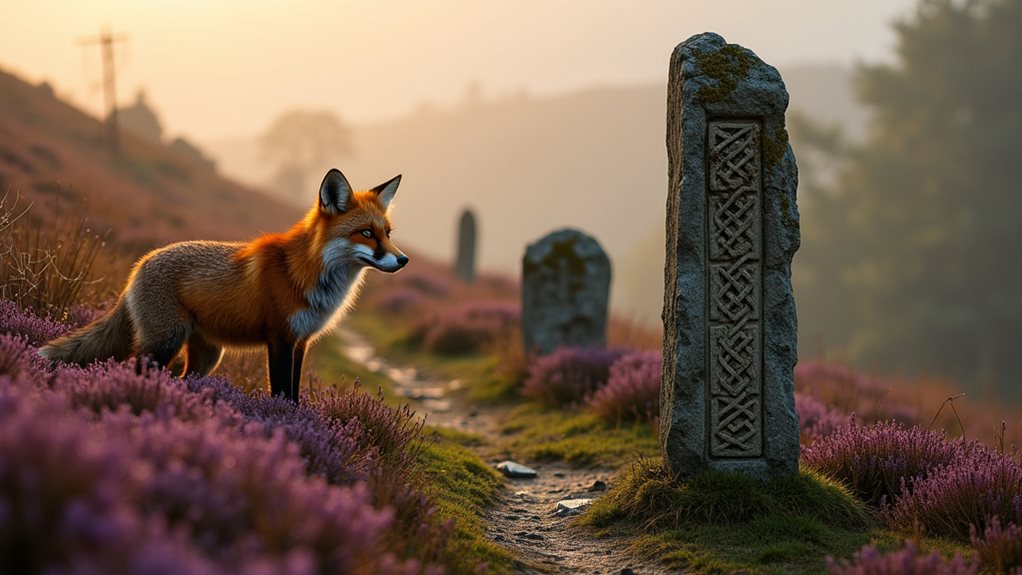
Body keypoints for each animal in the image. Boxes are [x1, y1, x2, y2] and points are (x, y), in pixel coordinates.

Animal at [39, 168, 407, 403]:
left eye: (388, 233)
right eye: (366, 233)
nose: (403, 260)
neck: (310, 274)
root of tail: (140, 264)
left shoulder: (301, 341)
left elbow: (295, 394)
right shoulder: (279, 338)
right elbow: (281, 393)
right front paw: (282, 422)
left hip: (207, 357)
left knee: (183, 379)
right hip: (164, 343)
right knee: (136, 368)